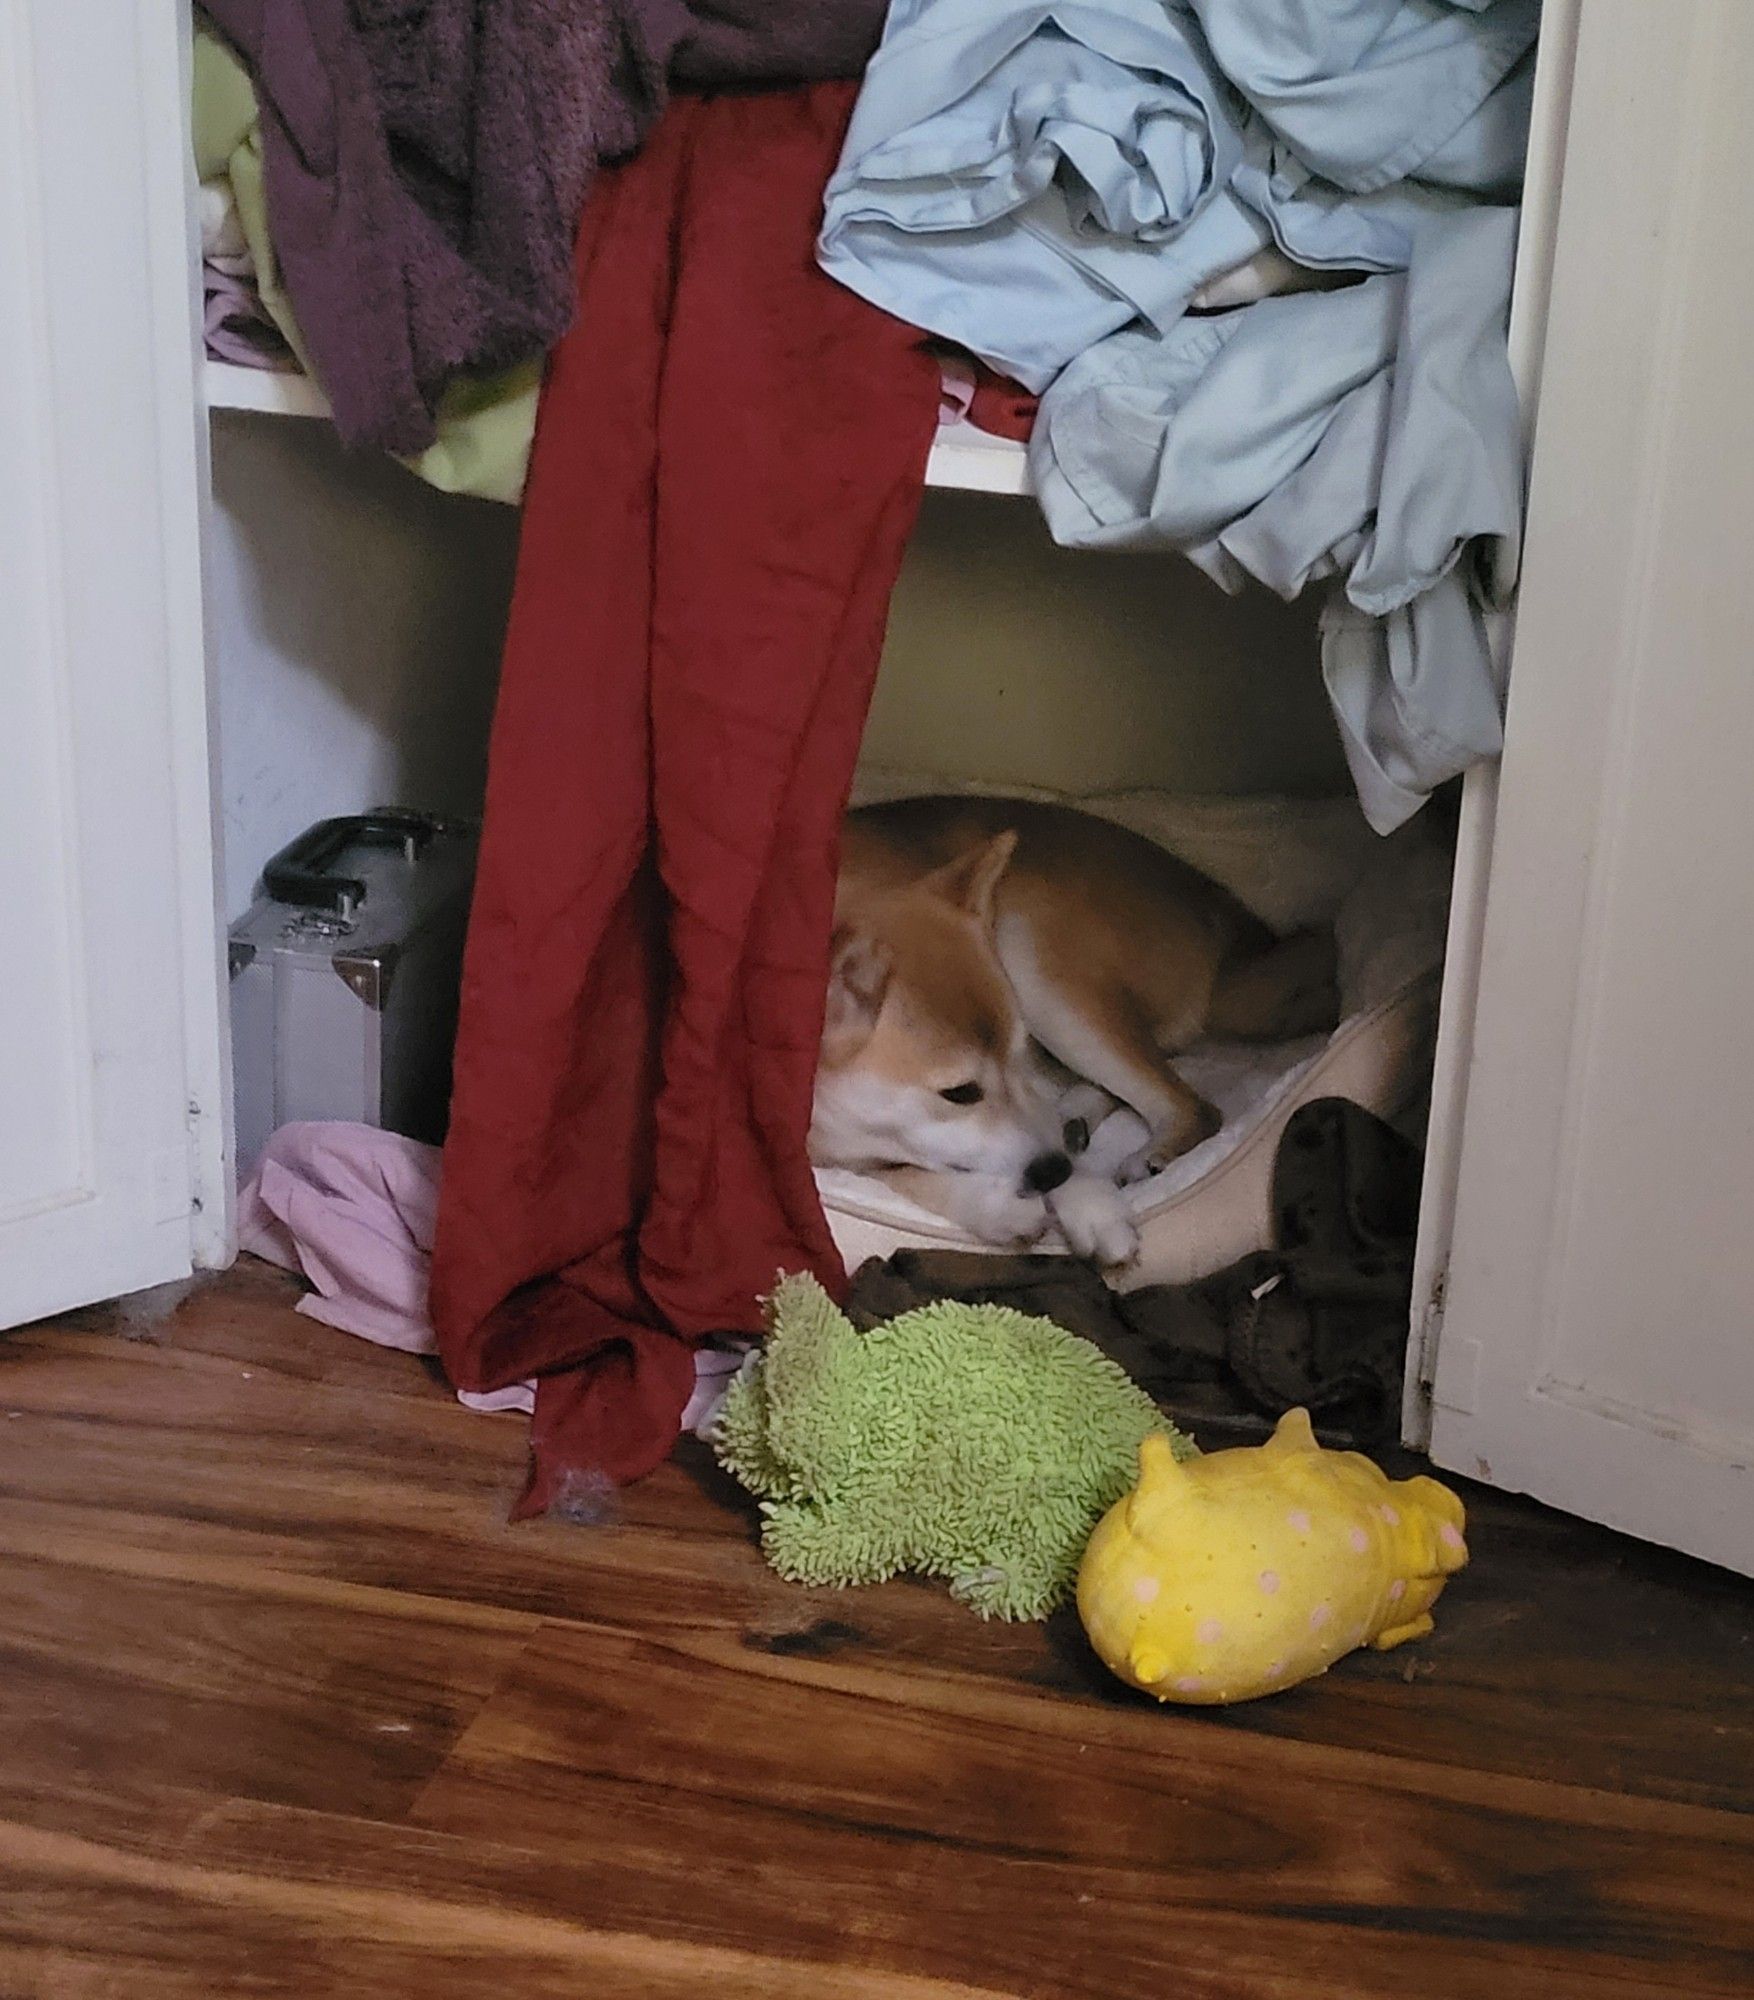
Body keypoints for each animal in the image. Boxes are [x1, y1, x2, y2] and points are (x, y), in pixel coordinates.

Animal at [816, 796, 1336, 1264]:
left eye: (1017, 1055)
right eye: (960, 1093)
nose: (1053, 1171)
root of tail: (1233, 937)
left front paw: (1088, 1203)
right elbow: (906, 1172)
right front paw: (999, 1206)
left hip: (1035, 962)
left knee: (1190, 1103)